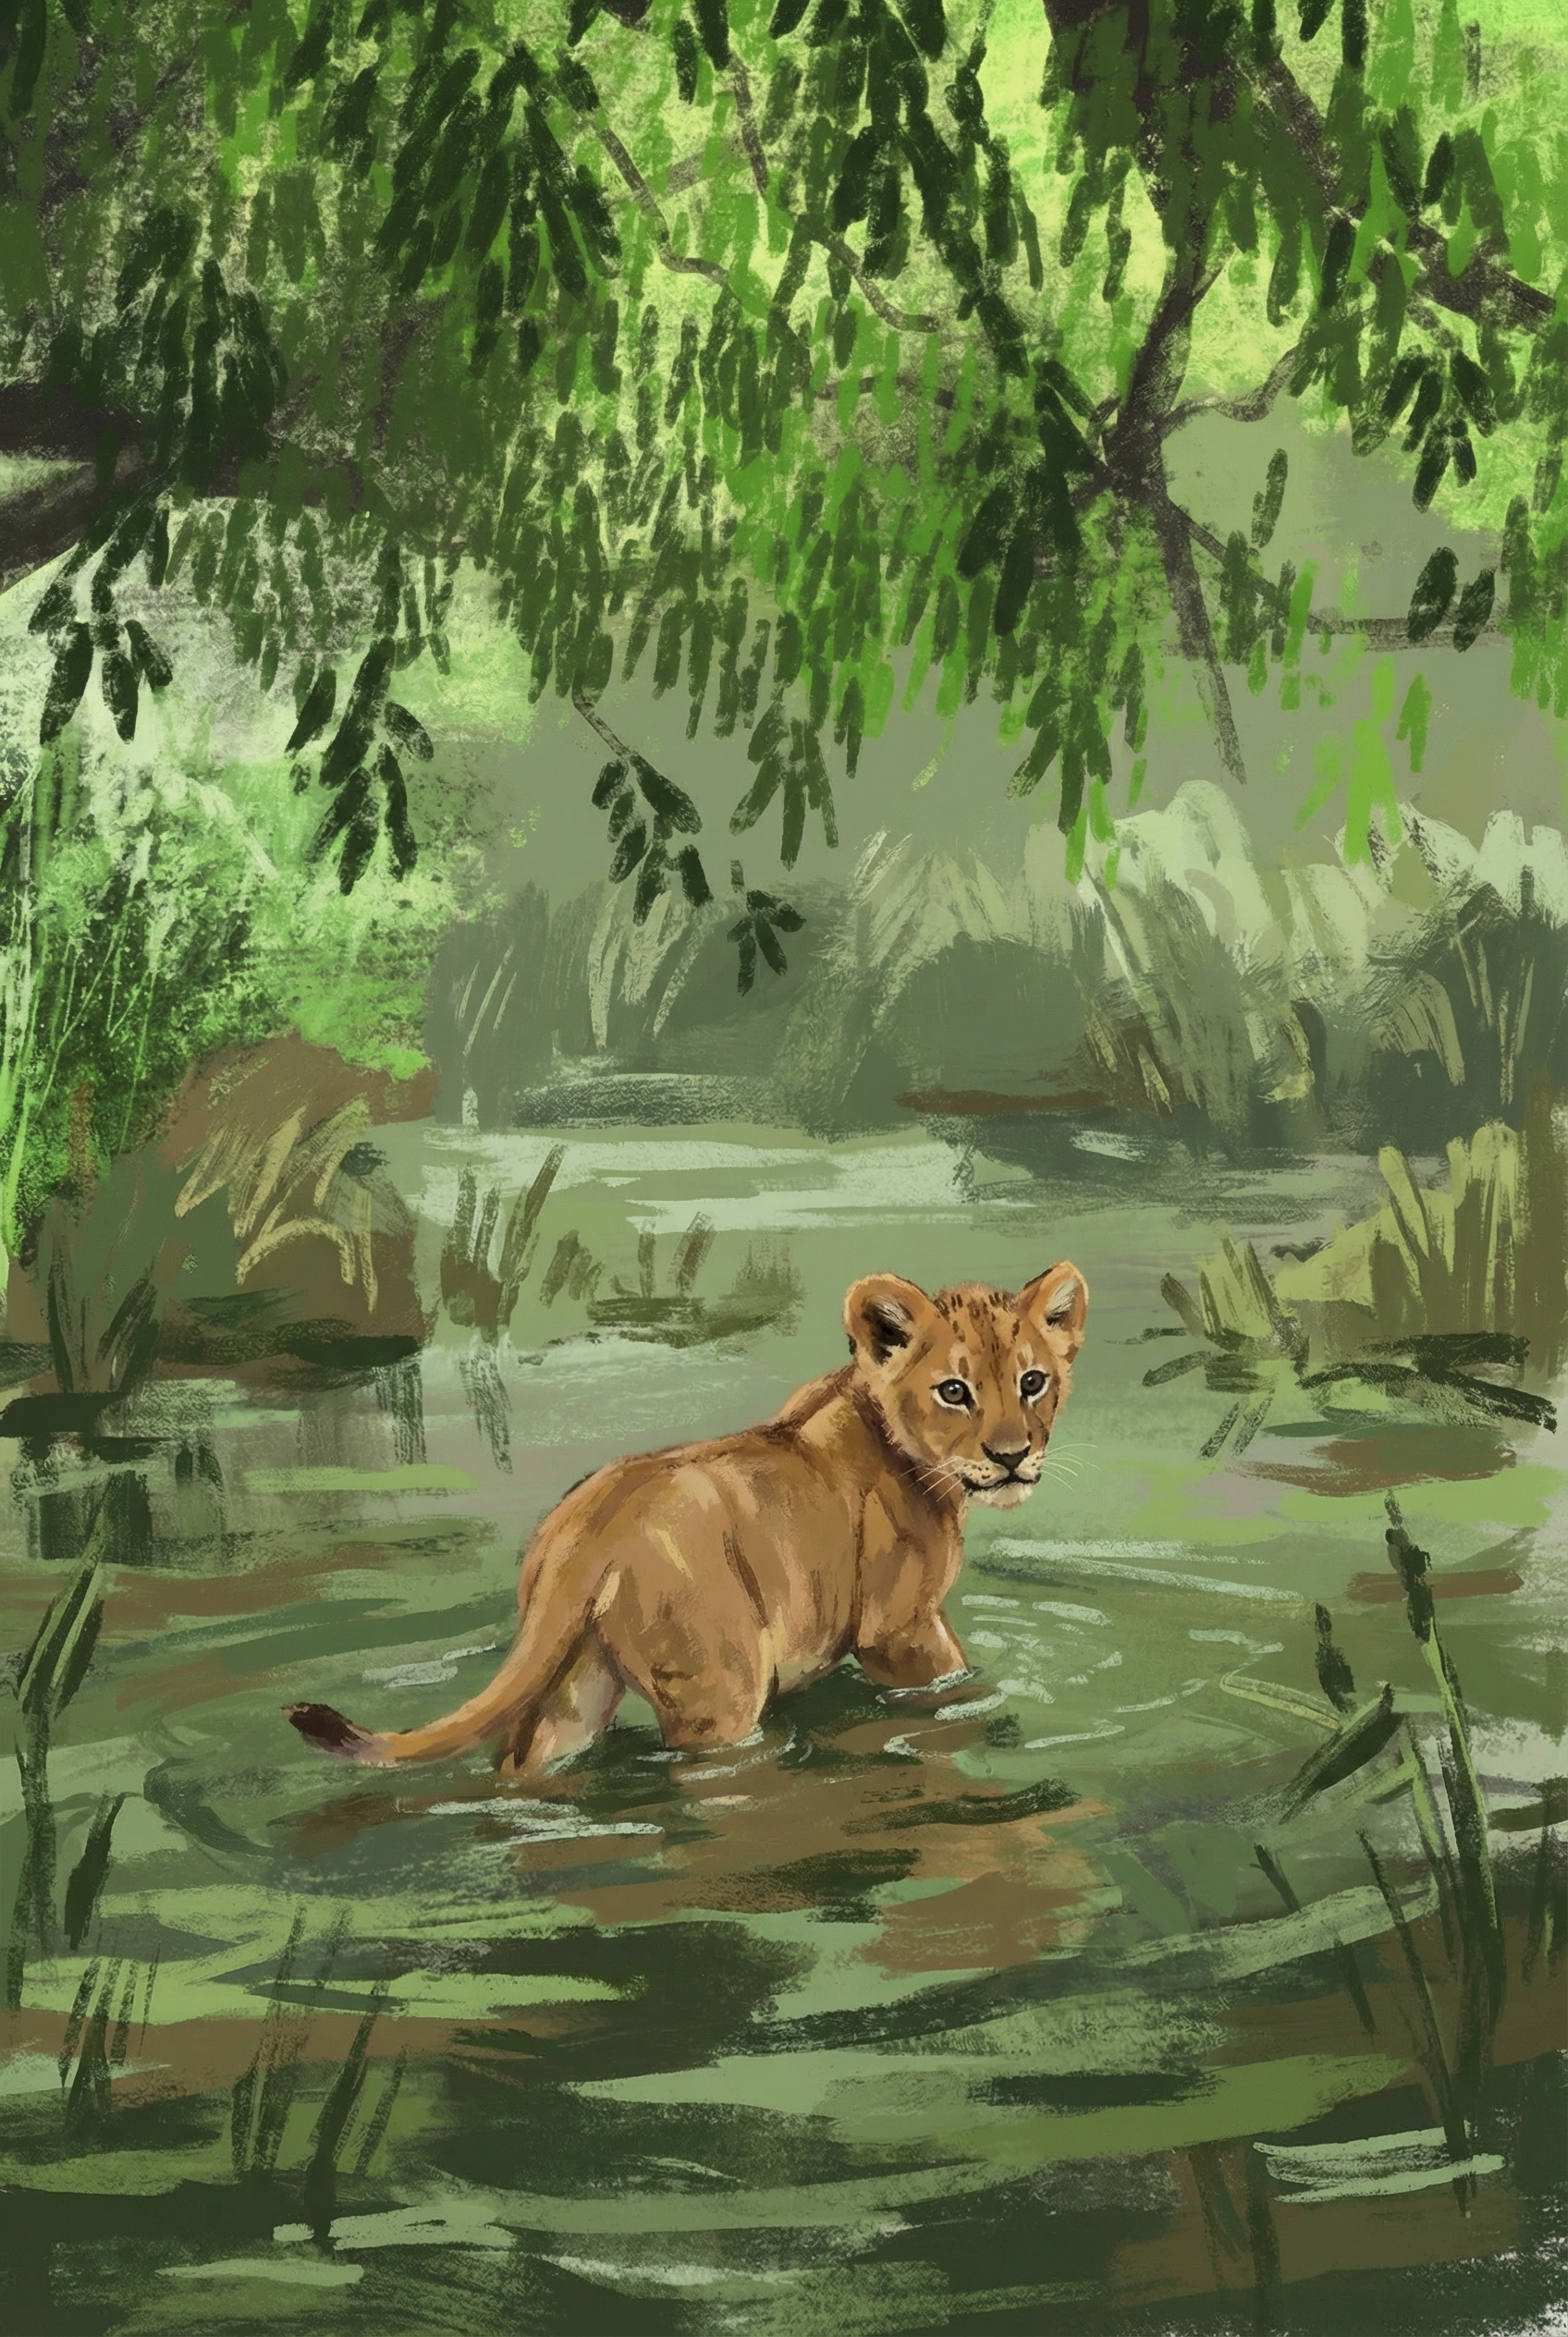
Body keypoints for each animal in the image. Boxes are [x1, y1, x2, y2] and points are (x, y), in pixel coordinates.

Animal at [285, 1262, 1088, 1776]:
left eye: (1032, 1381)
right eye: (954, 1390)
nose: (1012, 1456)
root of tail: (585, 1521)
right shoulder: (899, 1630)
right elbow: (952, 1696)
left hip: (577, 1684)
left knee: (521, 1758)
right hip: (718, 1685)